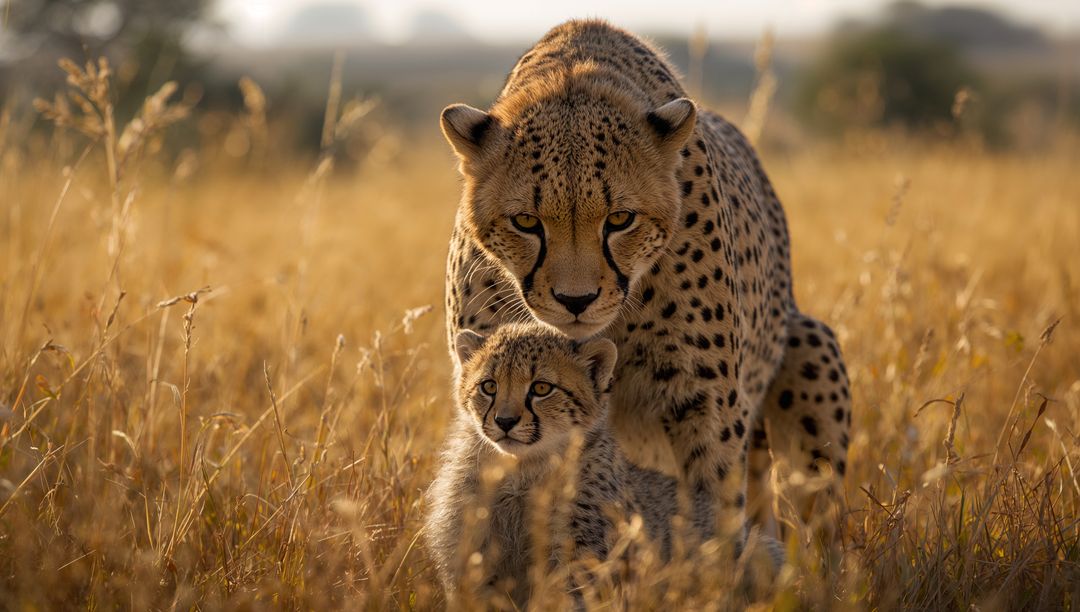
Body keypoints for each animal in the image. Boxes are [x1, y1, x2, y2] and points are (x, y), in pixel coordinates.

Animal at [440, 18, 850, 560]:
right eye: (526, 221)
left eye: (620, 219)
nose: (576, 301)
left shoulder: (705, 401)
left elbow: (713, 507)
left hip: (811, 353)